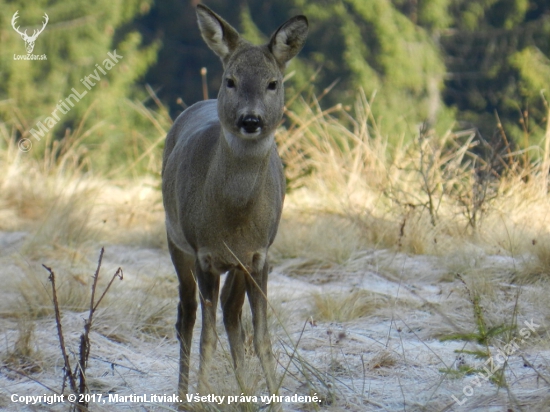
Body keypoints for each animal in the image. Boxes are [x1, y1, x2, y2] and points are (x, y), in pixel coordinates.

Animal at [163, 3, 310, 400]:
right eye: (230, 80)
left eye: (272, 83)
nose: (250, 119)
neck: (234, 221)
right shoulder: (204, 254)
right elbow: (207, 338)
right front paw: (200, 399)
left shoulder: (259, 255)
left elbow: (260, 338)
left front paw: (273, 401)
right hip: (174, 237)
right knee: (186, 315)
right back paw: (182, 398)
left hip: (239, 265)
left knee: (232, 316)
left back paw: (243, 393)